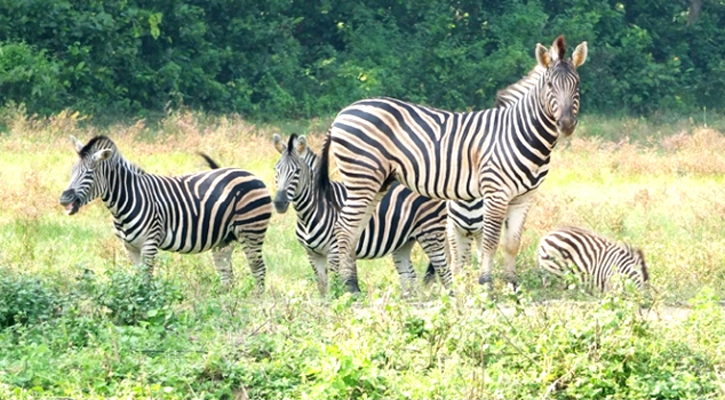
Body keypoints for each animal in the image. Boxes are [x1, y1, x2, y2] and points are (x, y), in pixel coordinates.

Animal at [59, 135, 272, 288]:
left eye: (89, 173)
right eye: (71, 172)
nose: (64, 199)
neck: (127, 199)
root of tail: (251, 174)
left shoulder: (149, 243)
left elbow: (146, 279)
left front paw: (145, 305)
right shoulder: (130, 247)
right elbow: (137, 279)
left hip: (251, 230)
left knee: (258, 269)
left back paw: (256, 303)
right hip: (223, 239)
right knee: (226, 274)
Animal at [272, 132, 452, 294]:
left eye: (297, 171)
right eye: (276, 170)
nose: (279, 203)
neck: (309, 212)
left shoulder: (334, 252)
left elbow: (336, 289)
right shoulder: (313, 254)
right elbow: (323, 289)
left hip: (430, 233)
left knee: (446, 273)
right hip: (405, 242)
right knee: (410, 280)